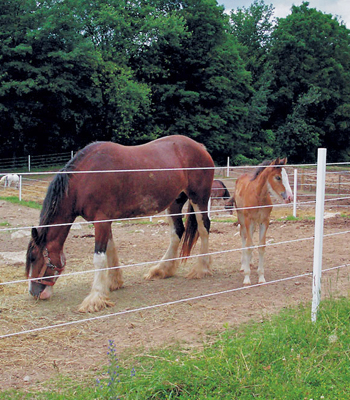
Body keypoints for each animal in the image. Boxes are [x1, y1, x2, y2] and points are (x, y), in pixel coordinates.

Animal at [25, 136, 213, 314]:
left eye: (34, 258)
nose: (34, 293)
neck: (86, 177)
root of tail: (200, 147)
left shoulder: (101, 221)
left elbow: (99, 258)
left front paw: (95, 298)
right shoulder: (105, 221)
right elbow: (110, 250)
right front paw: (114, 282)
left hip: (199, 198)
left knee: (204, 228)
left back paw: (201, 269)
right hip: (174, 202)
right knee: (177, 232)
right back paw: (162, 270)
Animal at [230, 158, 292, 286]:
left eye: (286, 176)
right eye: (278, 177)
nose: (290, 197)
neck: (258, 196)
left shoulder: (265, 221)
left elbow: (261, 246)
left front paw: (261, 277)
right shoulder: (248, 220)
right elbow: (249, 245)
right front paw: (247, 278)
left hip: (254, 223)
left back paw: (250, 262)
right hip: (241, 217)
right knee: (243, 236)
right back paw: (243, 265)